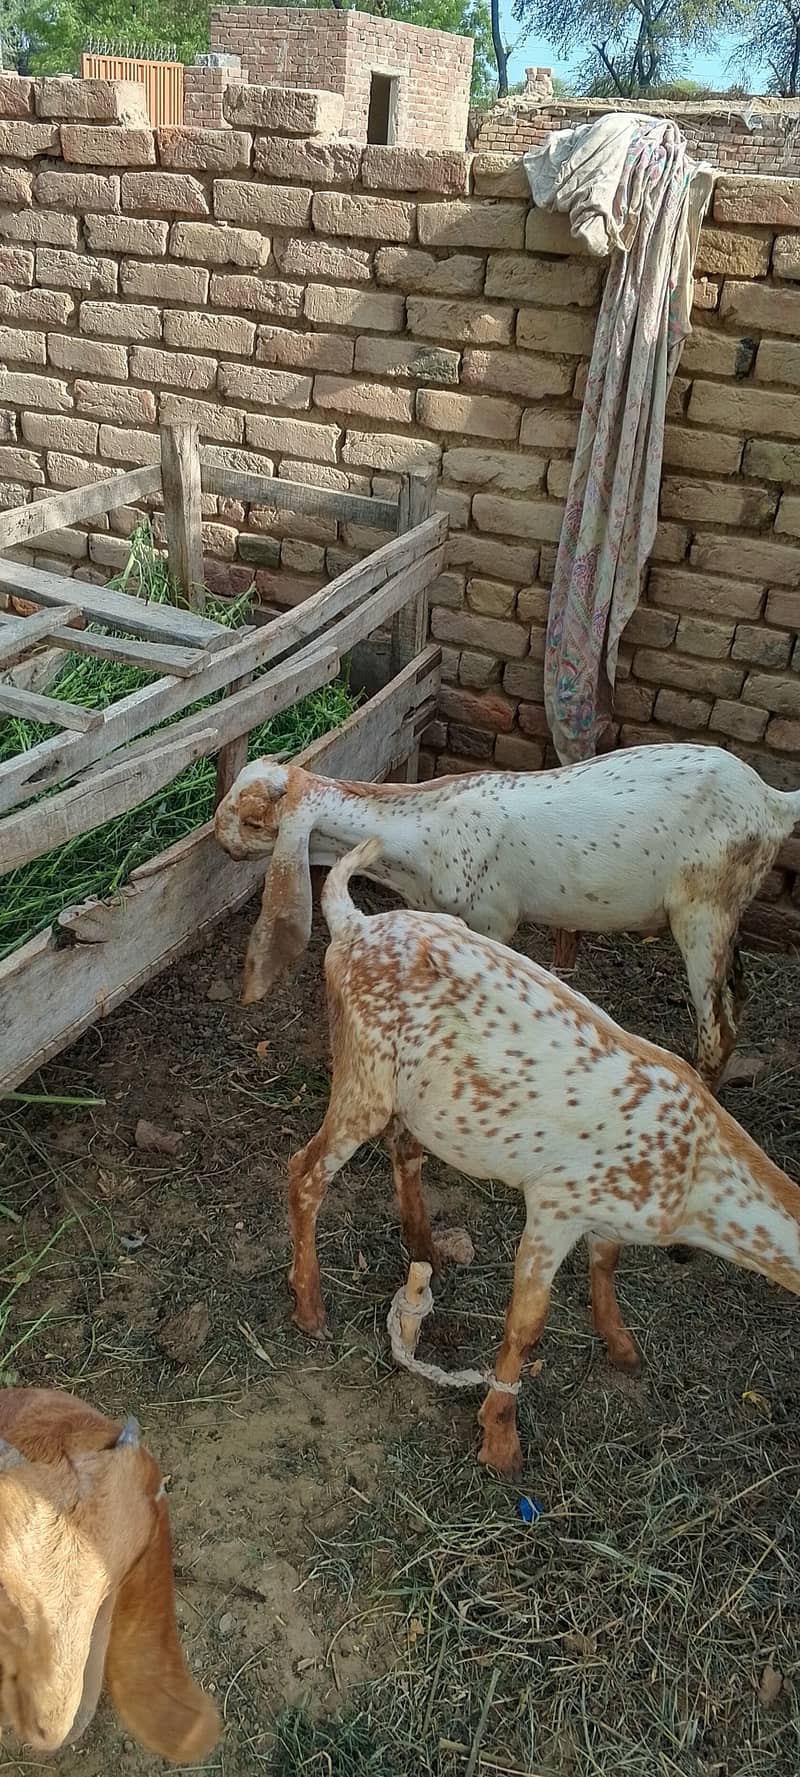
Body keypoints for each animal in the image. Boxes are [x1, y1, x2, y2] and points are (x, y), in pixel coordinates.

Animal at [214, 743, 800, 1088]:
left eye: (253, 818)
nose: (218, 839)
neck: (421, 830)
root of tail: (773, 801)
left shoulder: (493, 919)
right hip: (728, 911)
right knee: (738, 993)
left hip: (703, 909)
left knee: (719, 1029)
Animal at [286, 838, 800, 1478]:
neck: (694, 1183)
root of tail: (353, 925)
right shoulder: (556, 1203)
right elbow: (527, 1323)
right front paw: (500, 1443)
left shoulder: (607, 1208)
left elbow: (606, 1263)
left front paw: (621, 1346)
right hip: (362, 1072)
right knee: (305, 1172)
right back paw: (310, 1309)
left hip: (409, 1096)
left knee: (402, 1149)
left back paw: (426, 1249)